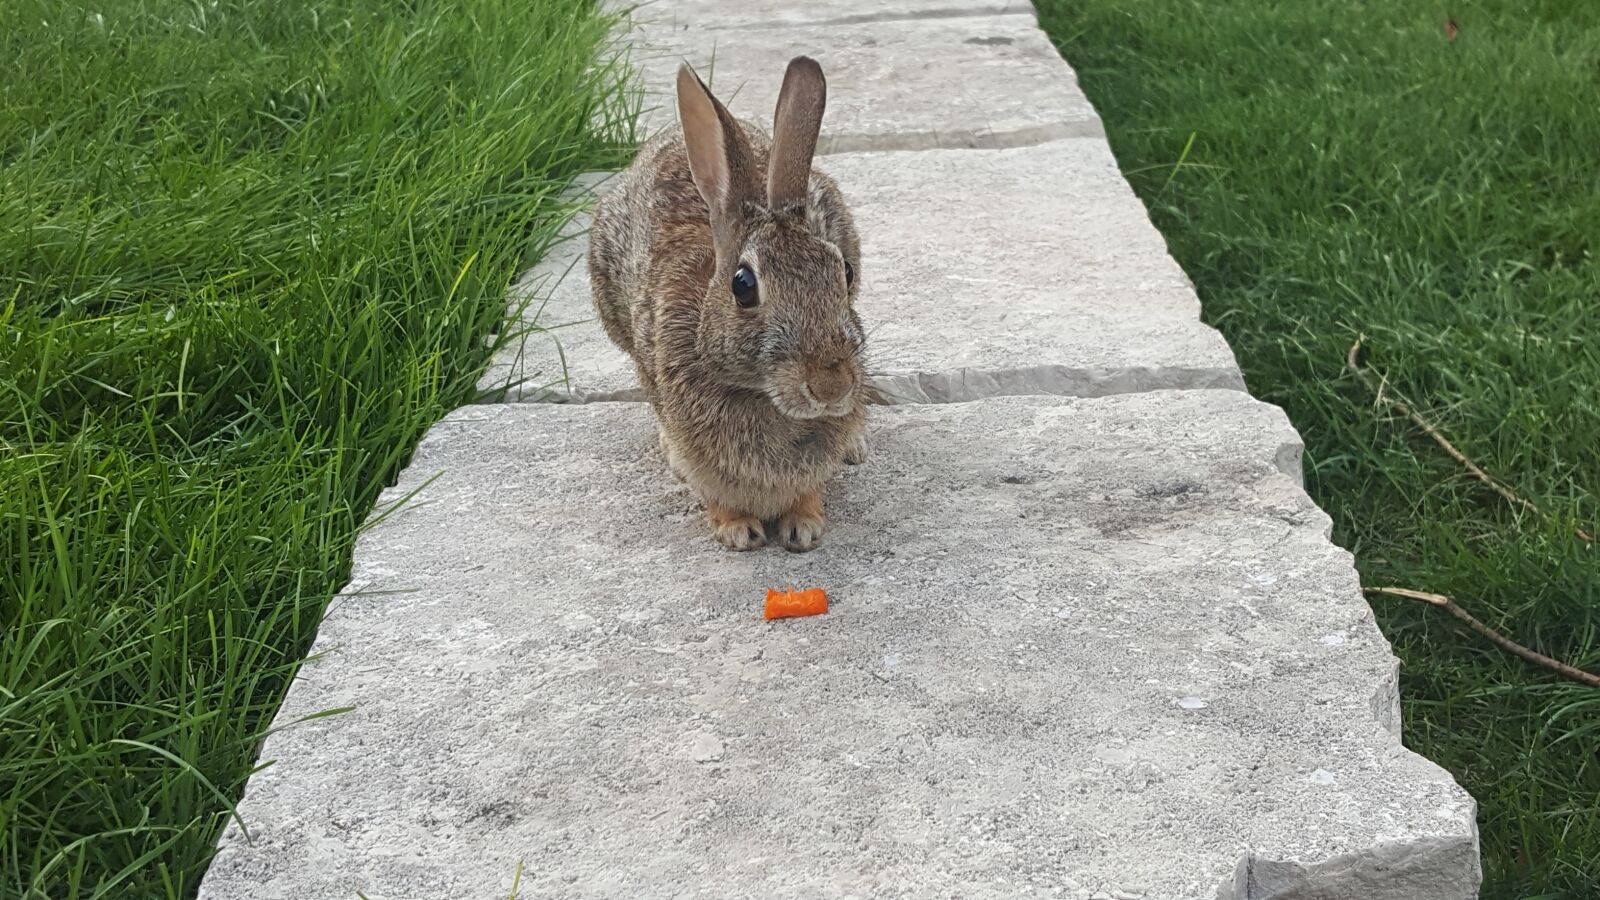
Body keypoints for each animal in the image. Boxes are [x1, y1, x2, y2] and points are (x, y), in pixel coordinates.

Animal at [587, 56, 868, 552]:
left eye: (845, 273)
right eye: (743, 286)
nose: (831, 386)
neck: (760, 393)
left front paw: (804, 523)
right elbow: (713, 492)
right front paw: (737, 530)